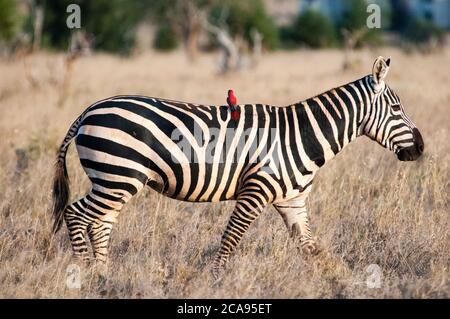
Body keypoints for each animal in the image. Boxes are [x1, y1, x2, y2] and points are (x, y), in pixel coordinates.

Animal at [51, 56, 424, 278]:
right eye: (396, 108)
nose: (420, 148)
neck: (303, 136)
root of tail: (89, 109)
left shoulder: (292, 200)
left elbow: (312, 248)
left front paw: (338, 279)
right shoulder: (255, 191)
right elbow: (231, 237)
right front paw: (215, 279)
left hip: (116, 180)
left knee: (101, 222)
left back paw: (103, 275)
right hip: (117, 175)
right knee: (76, 214)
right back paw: (83, 273)